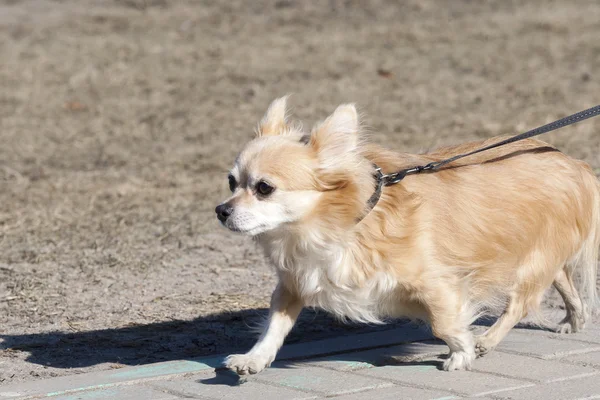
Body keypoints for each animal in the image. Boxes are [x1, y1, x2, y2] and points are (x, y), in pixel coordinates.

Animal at [216, 97, 600, 376]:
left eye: (264, 188)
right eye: (232, 182)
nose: (221, 210)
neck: (336, 226)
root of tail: (573, 163)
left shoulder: (438, 283)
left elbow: (444, 324)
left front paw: (461, 353)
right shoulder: (295, 282)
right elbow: (275, 325)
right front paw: (254, 359)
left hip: (528, 263)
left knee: (521, 303)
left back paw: (486, 340)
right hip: (540, 254)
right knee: (563, 280)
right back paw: (575, 318)